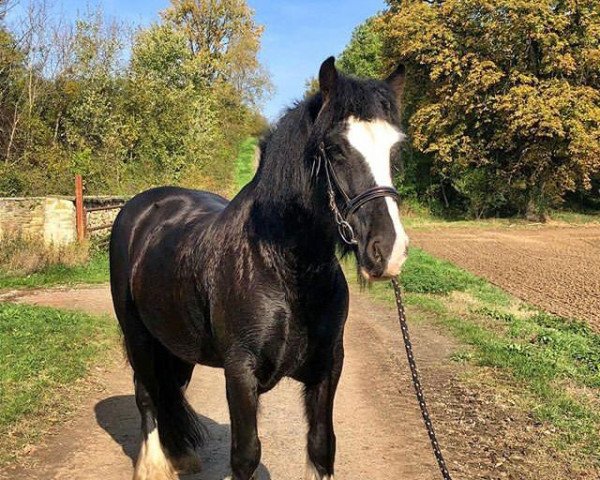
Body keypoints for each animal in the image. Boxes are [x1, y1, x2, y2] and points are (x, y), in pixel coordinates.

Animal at [110, 57, 410, 480]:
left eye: (395, 149)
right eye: (334, 149)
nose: (389, 251)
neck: (284, 270)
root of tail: (142, 207)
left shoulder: (328, 367)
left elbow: (322, 446)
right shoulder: (240, 373)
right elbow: (246, 454)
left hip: (174, 341)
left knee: (171, 391)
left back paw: (181, 456)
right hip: (139, 337)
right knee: (148, 394)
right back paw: (154, 465)